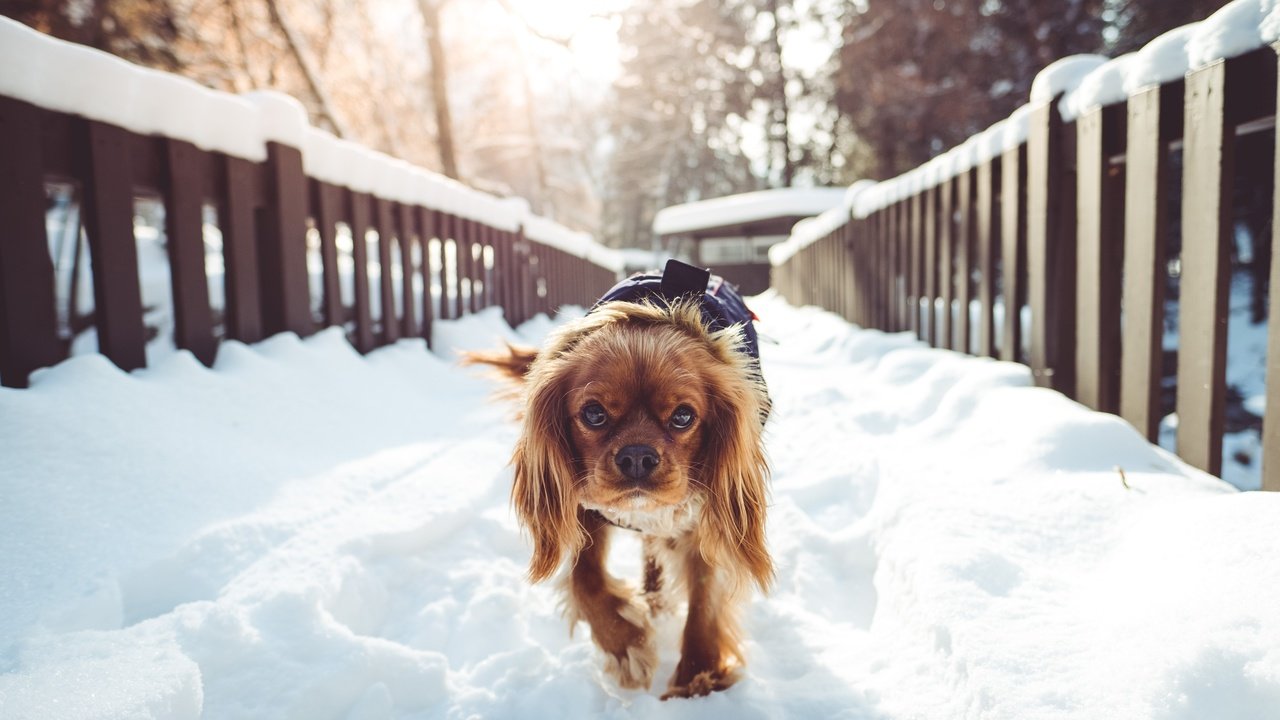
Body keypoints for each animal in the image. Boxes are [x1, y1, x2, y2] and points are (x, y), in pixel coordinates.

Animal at [468, 262, 768, 696]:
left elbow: (705, 601)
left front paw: (697, 679)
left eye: (683, 416)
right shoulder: (586, 511)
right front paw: (627, 646)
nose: (637, 456)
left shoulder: (704, 520)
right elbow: (585, 581)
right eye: (594, 414)